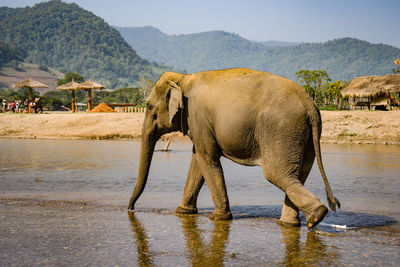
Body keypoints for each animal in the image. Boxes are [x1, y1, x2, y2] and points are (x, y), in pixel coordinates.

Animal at [129, 68, 340, 229]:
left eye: (149, 107)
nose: (130, 209)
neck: (183, 78)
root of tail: (311, 107)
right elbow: (198, 161)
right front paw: (182, 212)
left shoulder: (198, 119)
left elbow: (207, 159)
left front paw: (217, 218)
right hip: (305, 136)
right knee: (297, 175)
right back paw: (293, 223)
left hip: (282, 130)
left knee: (277, 174)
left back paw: (315, 216)